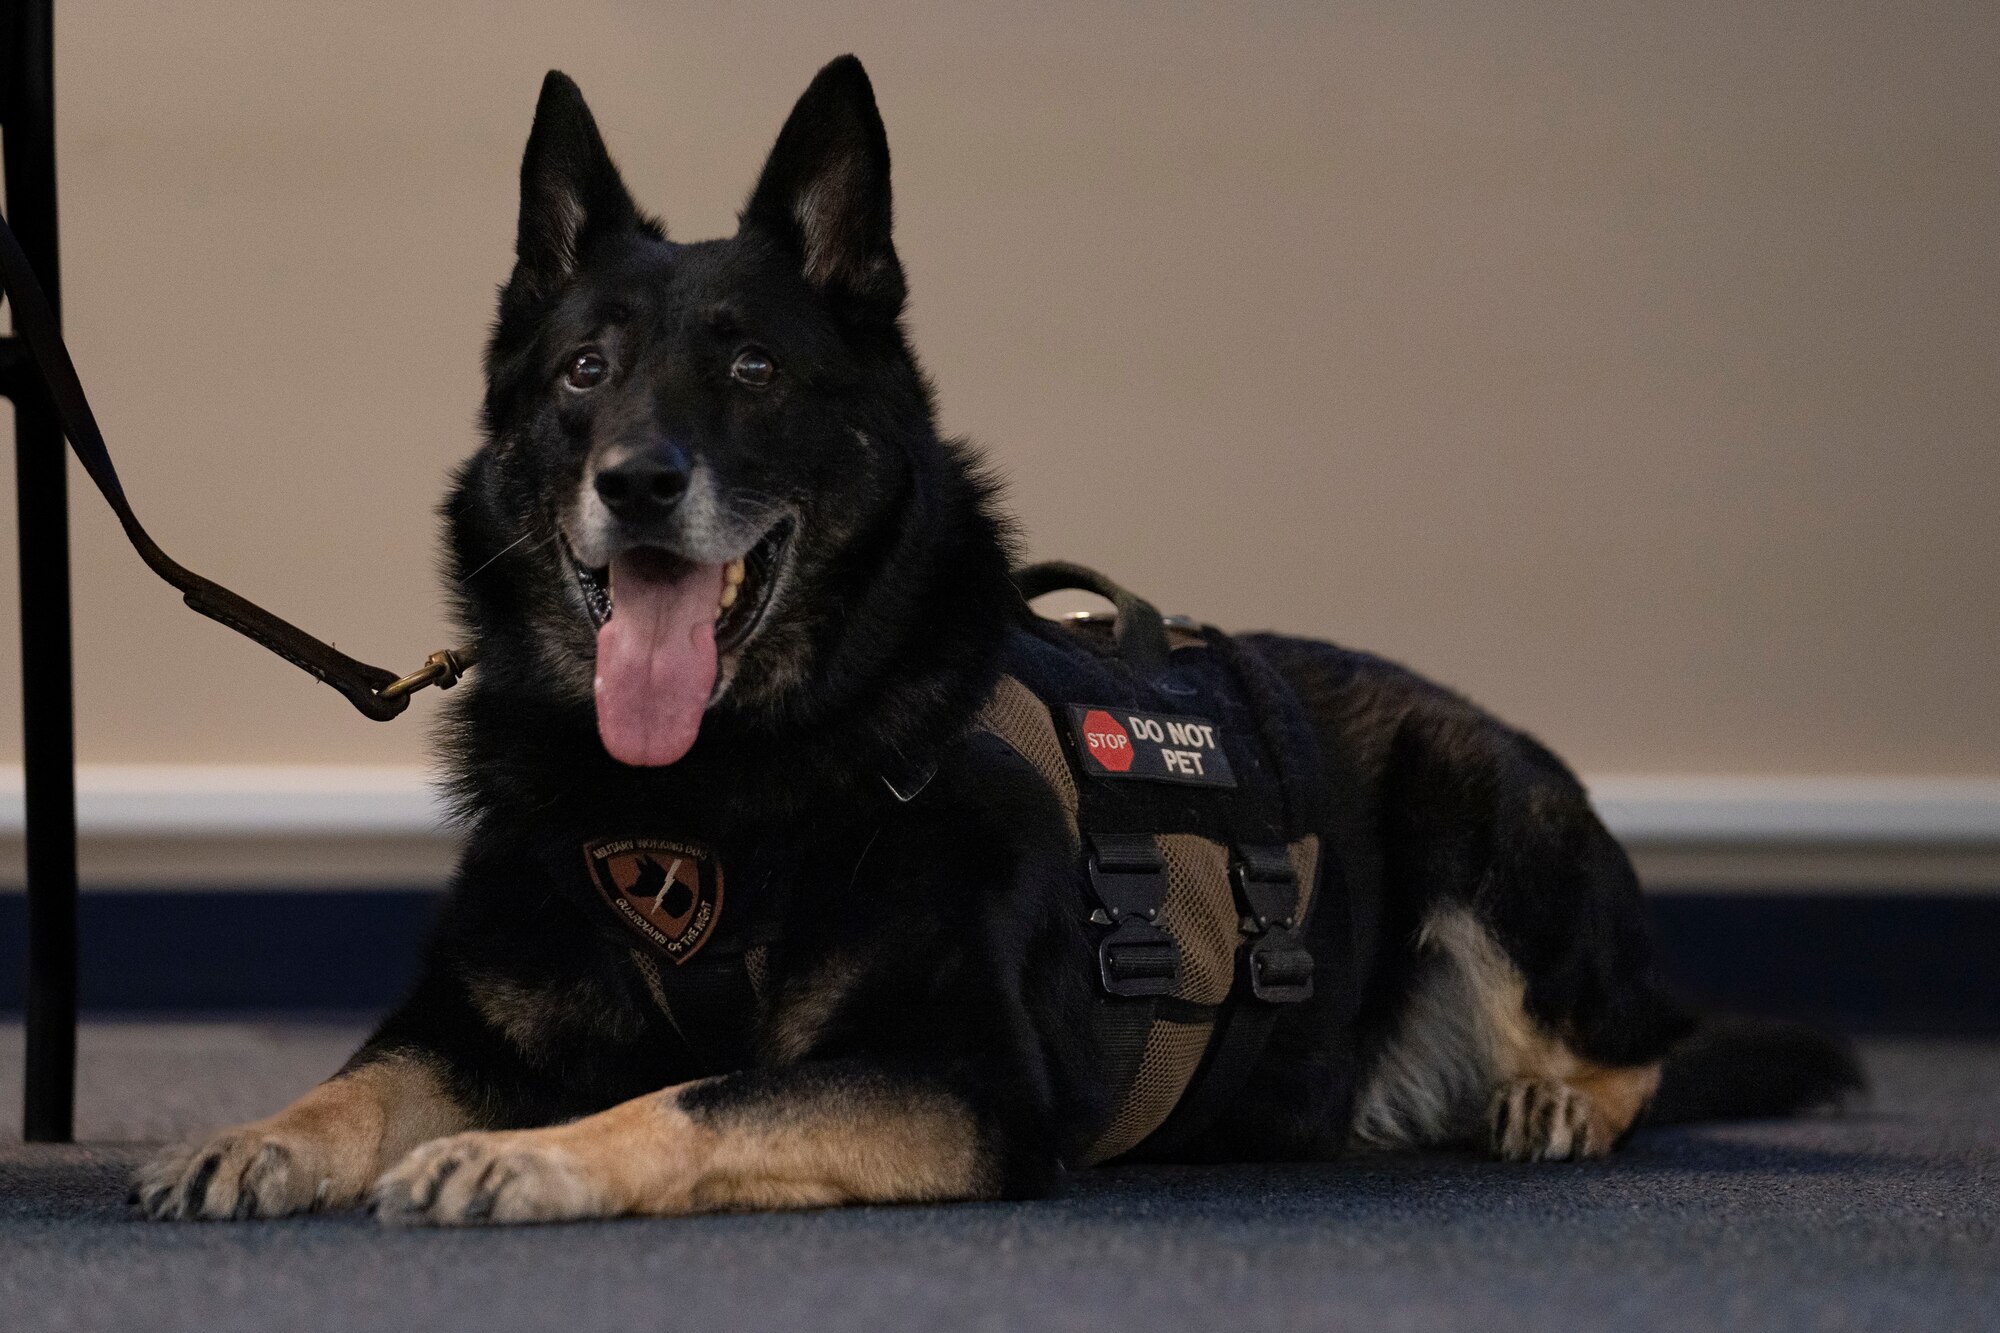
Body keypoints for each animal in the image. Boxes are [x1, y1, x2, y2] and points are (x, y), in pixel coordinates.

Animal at [129, 62, 1856, 1224]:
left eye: (751, 369)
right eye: (583, 373)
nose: (637, 481)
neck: (710, 794)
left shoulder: (951, 1083)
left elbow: (699, 1089)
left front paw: (525, 1153)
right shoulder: (465, 1021)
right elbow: (365, 1078)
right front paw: (265, 1132)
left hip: (1483, 800)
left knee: (1651, 1046)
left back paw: (1558, 1094)